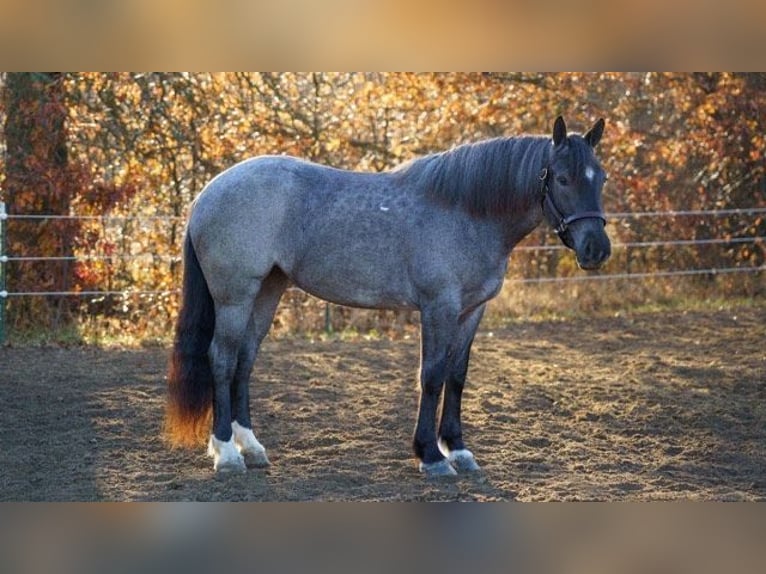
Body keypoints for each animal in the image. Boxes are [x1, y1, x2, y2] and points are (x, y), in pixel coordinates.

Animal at [165, 115, 611, 477]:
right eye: (562, 178)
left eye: (601, 177)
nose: (596, 249)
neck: (467, 212)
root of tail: (206, 194)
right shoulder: (438, 307)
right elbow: (431, 376)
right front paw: (431, 456)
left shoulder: (472, 311)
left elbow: (457, 376)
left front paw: (459, 451)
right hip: (235, 296)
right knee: (222, 360)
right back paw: (227, 454)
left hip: (266, 291)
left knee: (244, 361)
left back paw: (251, 447)